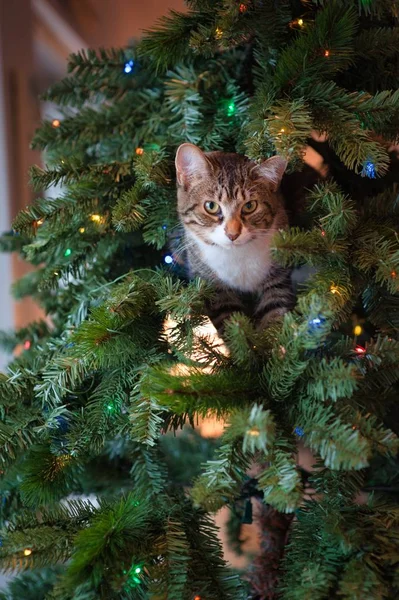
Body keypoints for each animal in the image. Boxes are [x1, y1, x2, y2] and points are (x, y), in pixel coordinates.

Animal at [176, 144, 296, 336]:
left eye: (250, 206)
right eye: (211, 206)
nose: (232, 234)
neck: (237, 255)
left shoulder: (278, 276)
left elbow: (275, 310)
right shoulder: (215, 289)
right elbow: (232, 323)